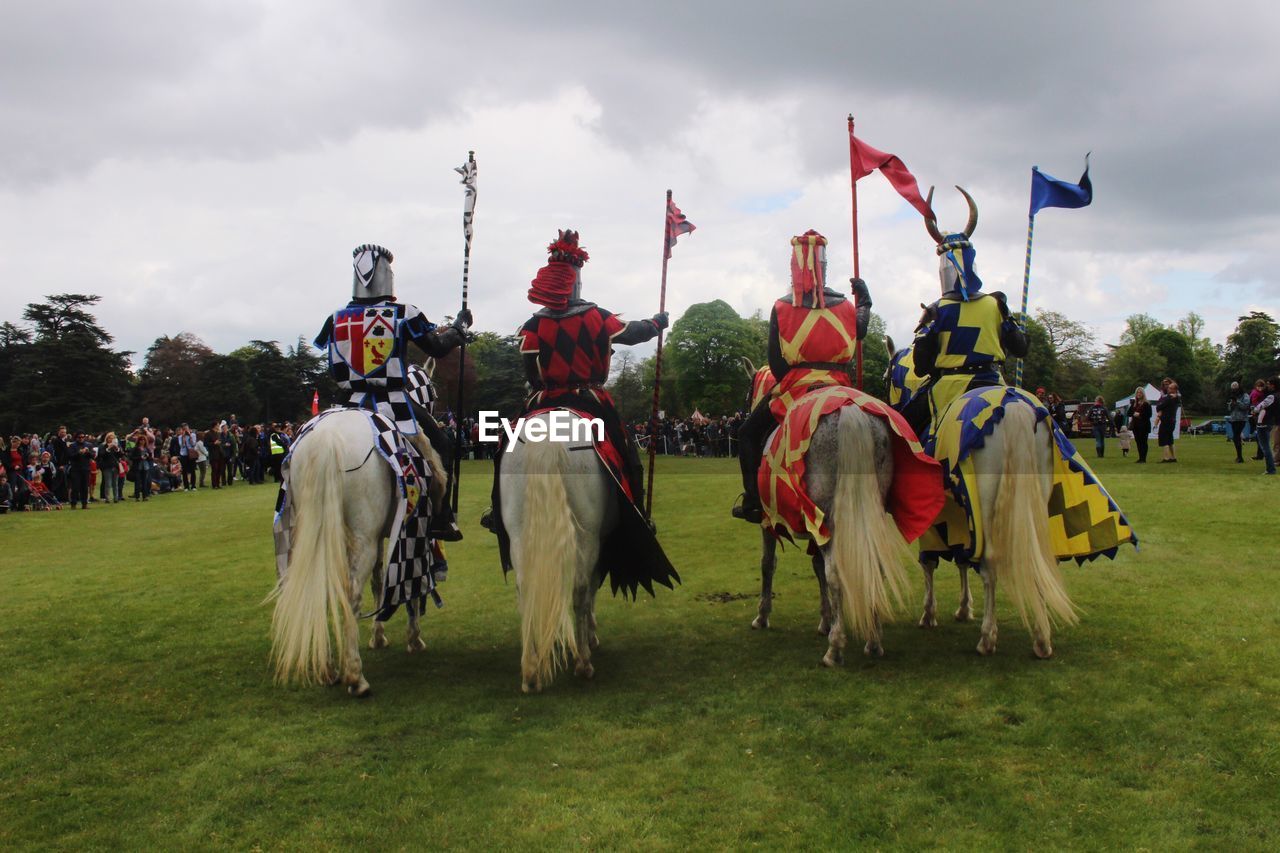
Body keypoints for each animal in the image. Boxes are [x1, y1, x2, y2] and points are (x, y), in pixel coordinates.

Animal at [263, 409, 445, 696]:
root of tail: (326, 440)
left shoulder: (384, 538)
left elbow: (379, 582)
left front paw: (378, 636)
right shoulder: (413, 535)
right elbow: (411, 587)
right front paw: (414, 639)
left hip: (312, 531)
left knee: (317, 587)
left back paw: (327, 669)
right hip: (364, 537)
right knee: (351, 595)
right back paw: (355, 678)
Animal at [496, 409, 616, 696]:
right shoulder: (598, 541)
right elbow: (592, 586)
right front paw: (592, 635)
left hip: (519, 533)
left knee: (525, 589)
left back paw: (530, 673)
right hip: (587, 534)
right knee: (580, 590)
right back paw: (583, 663)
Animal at [885, 335, 1075, 653]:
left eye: (887, 376)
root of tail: (1014, 408)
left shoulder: (939, 516)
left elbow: (930, 561)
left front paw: (929, 613)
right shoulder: (959, 514)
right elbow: (962, 558)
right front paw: (963, 608)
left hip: (984, 501)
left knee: (991, 564)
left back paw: (988, 638)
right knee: (1036, 556)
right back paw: (1041, 636)